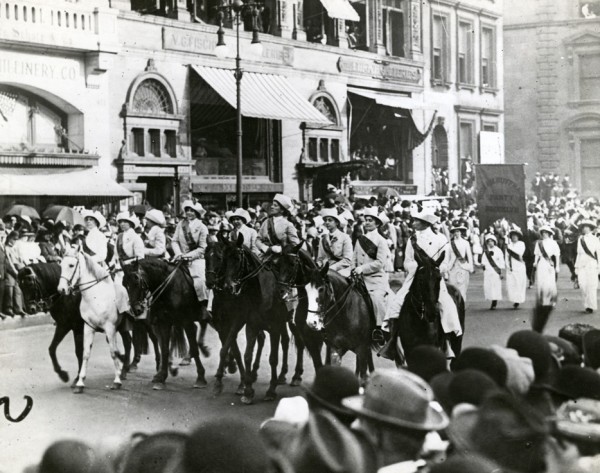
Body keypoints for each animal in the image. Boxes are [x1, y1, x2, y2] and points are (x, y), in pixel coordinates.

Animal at [56, 249, 123, 392]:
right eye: (61, 265)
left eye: (71, 265)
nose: (61, 289)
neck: (97, 296)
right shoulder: (88, 327)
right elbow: (85, 353)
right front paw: (80, 383)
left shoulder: (110, 328)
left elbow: (113, 352)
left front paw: (117, 381)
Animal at [120, 256, 210, 390]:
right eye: (124, 284)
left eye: (137, 281)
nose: (136, 310)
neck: (170, 287)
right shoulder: (164, 322)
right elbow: (165, 349)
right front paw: (161, 377)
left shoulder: (186, 321)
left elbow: (193, 347)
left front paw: (200, 378)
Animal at [219, 236, 290, 402]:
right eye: (224, 259)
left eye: (237, 258)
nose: (228, 287)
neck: (260, 294)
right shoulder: (251, 326)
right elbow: (247, 356)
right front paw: (248, 391)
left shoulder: (275, 328)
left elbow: (273, 358)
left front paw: (271, 390)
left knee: (286, 342)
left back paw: (284, 375)